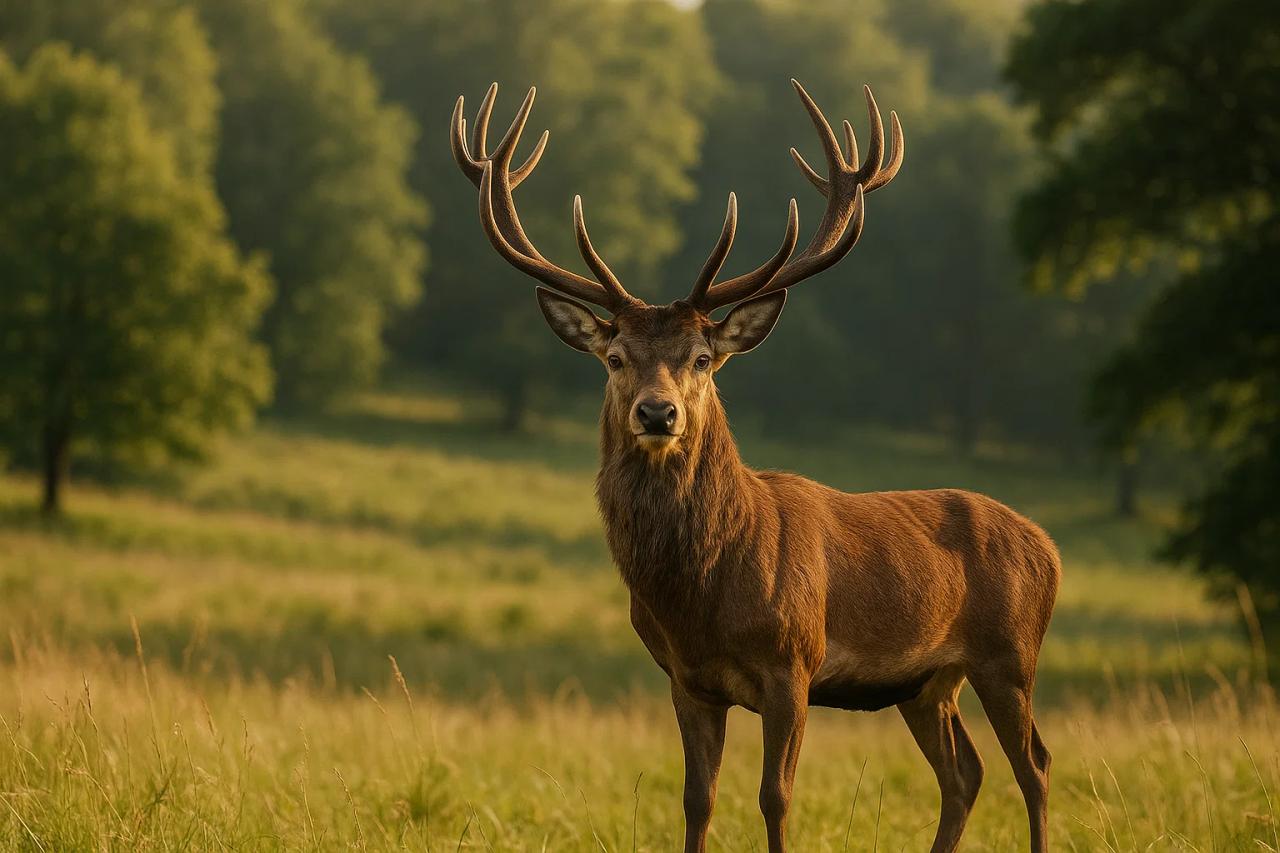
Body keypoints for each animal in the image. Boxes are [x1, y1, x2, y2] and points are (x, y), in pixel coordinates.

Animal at [451, 79, 1060, 853]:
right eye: (615, 357)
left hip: (1011, 654)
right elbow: (697, 798)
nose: (657, 413)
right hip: (927, 682)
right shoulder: (685, 677)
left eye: (701, 359)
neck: (703, 594)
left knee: (1034, 764)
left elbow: (776, 797)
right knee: (966, 772)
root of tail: (1050, 545)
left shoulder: (792, 662)